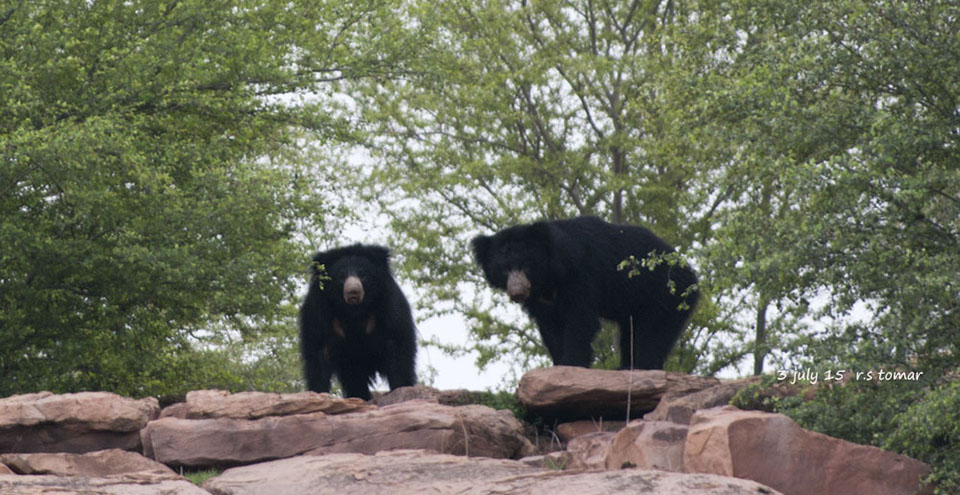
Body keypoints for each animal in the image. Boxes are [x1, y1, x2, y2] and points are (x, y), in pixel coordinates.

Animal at [298, 244, 418, 400]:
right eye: (341, 277)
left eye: (363, 275)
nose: (353, 291)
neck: (354, 310)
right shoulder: (317, 309)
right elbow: (319, 353)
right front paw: (318, 392)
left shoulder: (389, 302)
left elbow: (397, 345)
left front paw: (402, 389)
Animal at [471, 216, 699, 370]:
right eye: (504, 268)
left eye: (526, 265)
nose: (517, 292)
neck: (548, 279)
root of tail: (691, 273)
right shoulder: (540, 300)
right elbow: (550, 328)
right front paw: (558, 362)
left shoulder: (581, 275)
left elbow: (580, 320)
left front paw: (571, 363)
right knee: (630, 333)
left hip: (667, 294)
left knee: (651, 333)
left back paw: (638, 366)